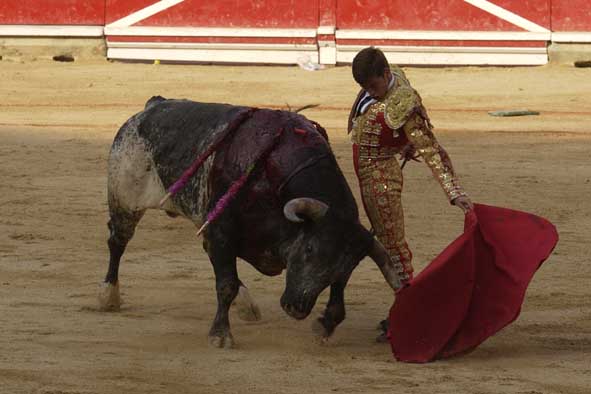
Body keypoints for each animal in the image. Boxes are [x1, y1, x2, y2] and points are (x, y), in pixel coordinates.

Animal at [100, 96, 408, 348]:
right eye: (309, 250)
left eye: (345, 265)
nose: (297, 308)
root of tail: (152, 106)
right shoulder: (222, 231)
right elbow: (225, 285)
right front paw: (220, 335)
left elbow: (338, 293)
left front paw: (325, 324)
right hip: (124, 200)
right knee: (117, 242)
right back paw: (108, 295)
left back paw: (247, 305)